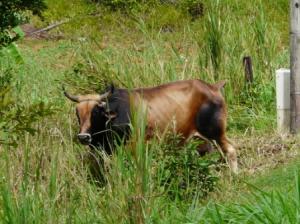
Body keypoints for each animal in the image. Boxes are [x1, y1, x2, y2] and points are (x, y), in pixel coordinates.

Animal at [64, 79, 238, 174]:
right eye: (78, 113)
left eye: (96, 112)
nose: (83, 137)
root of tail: (212, 87)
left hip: (216, 133)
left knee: (230, 150)